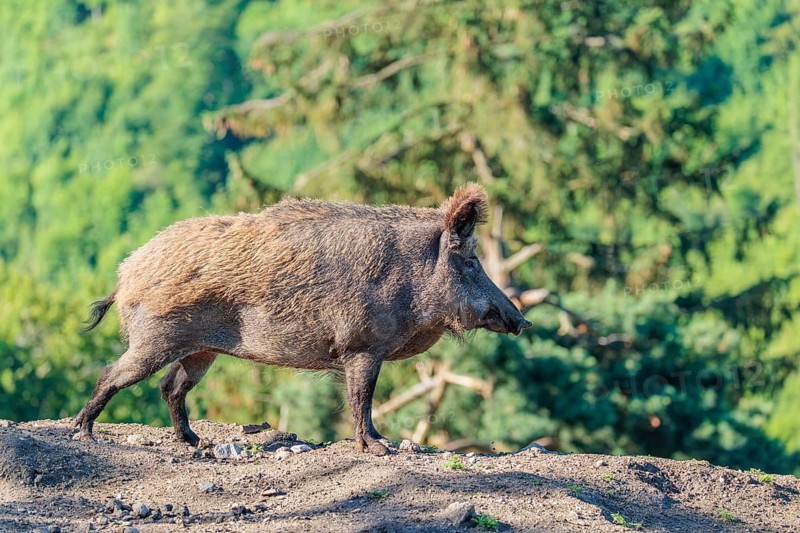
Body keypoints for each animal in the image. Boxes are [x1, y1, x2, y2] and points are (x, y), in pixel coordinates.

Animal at [74, 183, 532, 454]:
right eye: (470, 261)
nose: (523, 321)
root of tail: (126, 273)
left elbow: (363, 400)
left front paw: (382, 443)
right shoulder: (361, 346)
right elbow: (362, 398)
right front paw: (379, 447)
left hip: (201, 351)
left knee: (171, 387)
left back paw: (193, 441)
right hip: (155, 339)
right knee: (113, 374)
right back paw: (84, 432)